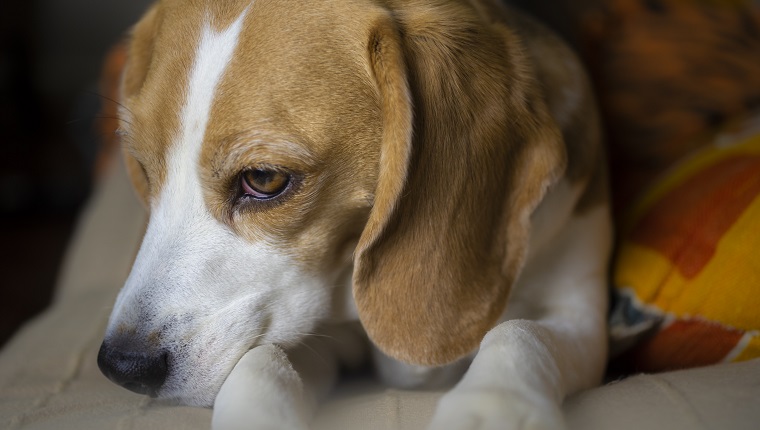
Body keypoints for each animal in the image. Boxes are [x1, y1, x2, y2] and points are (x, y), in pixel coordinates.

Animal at [99, 0, 612, 430]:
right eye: (143, 167)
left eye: (263, 179)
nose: (122, 366)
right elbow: (260, 360)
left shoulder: (583, 317)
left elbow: (520, 331)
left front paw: (494, 407)